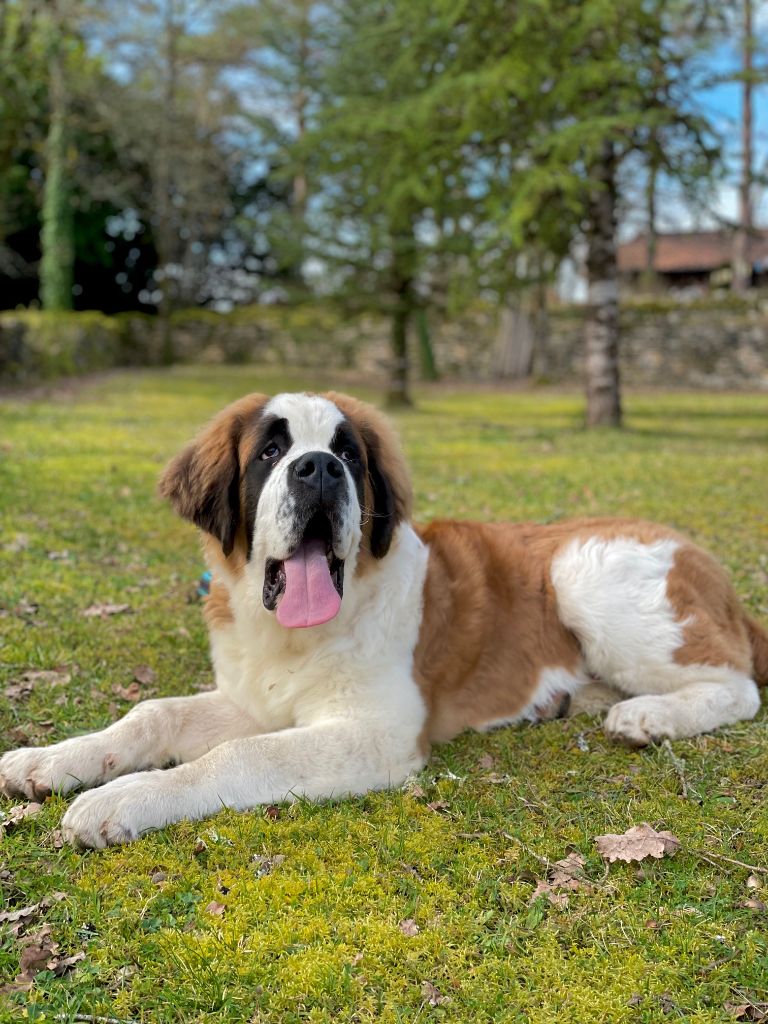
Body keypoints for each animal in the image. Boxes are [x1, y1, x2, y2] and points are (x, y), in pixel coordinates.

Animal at [0, 387, 765, 843]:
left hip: (584, 574)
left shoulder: (376, 732)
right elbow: (154, 714)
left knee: (739, 687)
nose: (318, 468)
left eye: (347, 453)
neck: (294, 634)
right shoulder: (253, 701)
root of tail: (699, 554)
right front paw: (50, 760)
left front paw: (123, 800)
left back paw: (649, 717)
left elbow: (239, 755)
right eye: (271, 450)